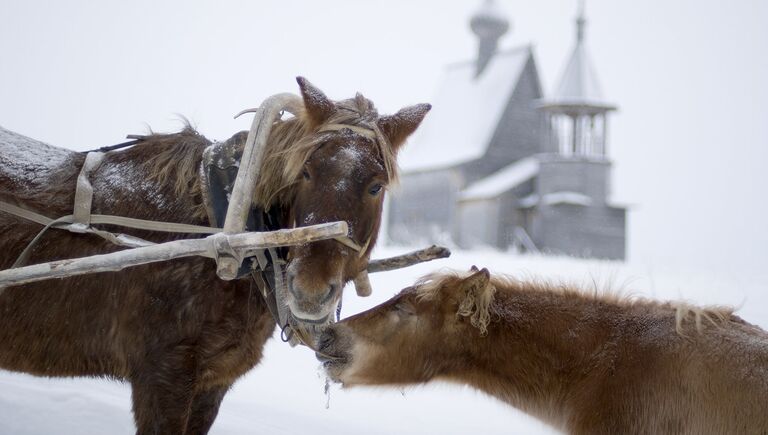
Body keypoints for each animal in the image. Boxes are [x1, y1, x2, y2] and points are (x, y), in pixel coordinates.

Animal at [0, 76, 432, 434]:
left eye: (376, 186)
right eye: (305, 173)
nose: (309, 291)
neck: (228, 234)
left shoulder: (213, 382)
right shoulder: (163, 376)